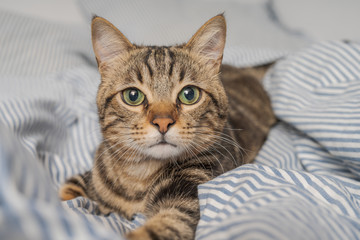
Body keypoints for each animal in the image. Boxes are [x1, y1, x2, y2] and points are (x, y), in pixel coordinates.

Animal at [59, 14, 276, 239]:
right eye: (133, 96)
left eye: (189, 94)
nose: (162, 122)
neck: (138, 177)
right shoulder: (88, 177)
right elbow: (68, 191)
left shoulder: (188, 195)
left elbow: (165, 224)